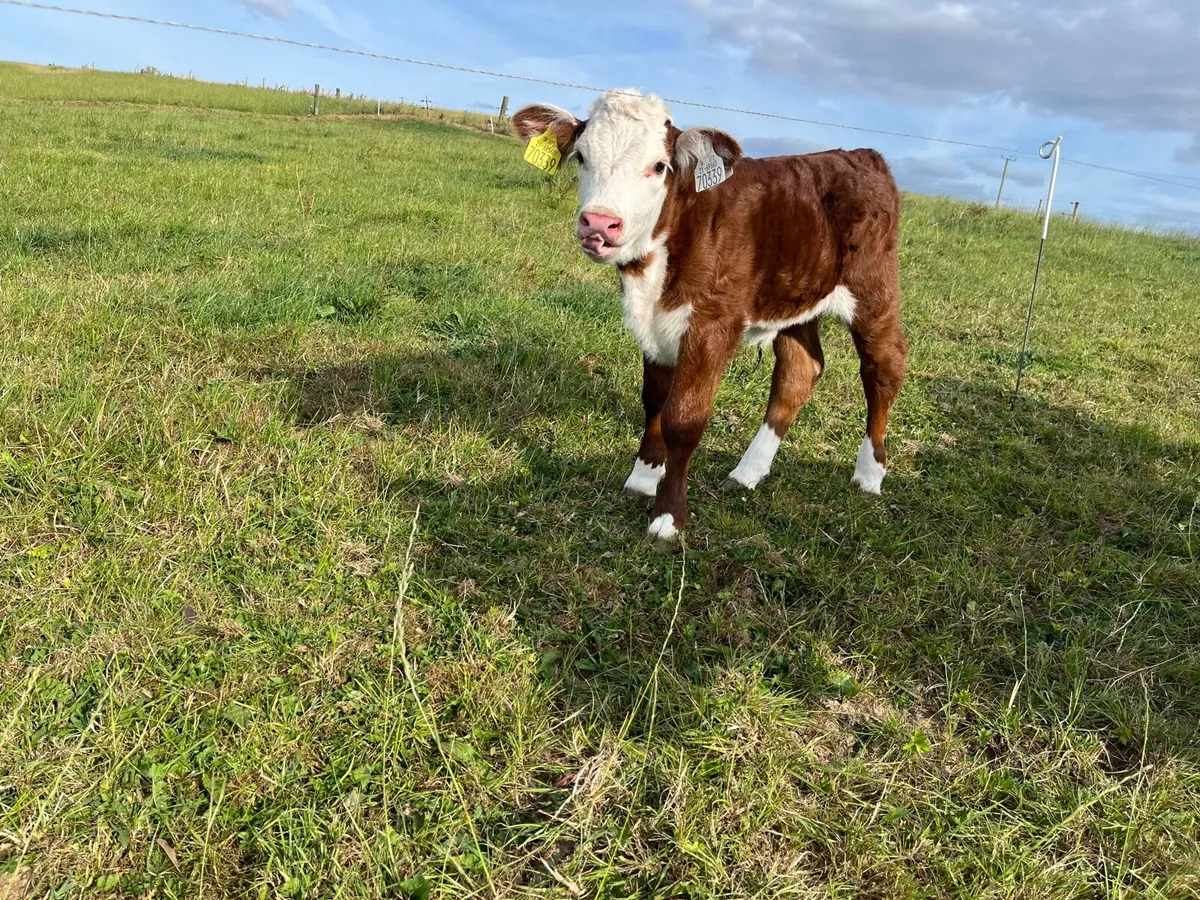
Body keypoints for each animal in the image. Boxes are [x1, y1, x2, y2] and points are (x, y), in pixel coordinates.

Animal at [511, 89, 908, 550]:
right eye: (580, 157)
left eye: (658, 166)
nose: (600, 224)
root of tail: (861, 154)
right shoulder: (655, 325)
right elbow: (654, 401)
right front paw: (643, 477)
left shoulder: (711, 325)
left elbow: (683, 417)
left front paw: (667, 515)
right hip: (795, 294)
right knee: (799, 371)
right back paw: (748, 472)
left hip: (873, 288)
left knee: (884, 365)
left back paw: (870, 473)